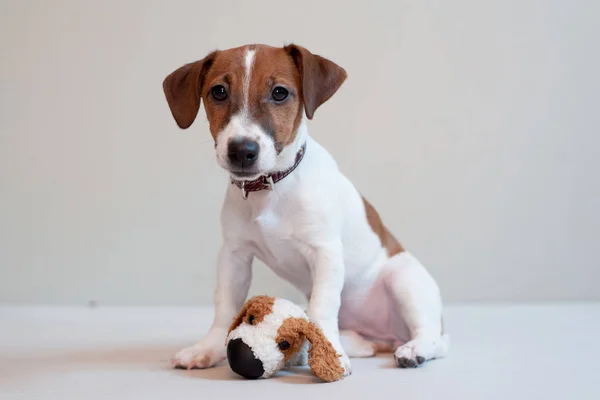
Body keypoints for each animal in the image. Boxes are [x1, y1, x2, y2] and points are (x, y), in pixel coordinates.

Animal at [162, 43, 448, 376]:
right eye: (218, 91)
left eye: (280, 93)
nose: (242, 150)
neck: (272, 187)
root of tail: (386, 338)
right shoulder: (234, 255)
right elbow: (224, 307)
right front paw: (207, 349)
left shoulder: (325, 252)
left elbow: (323, 308)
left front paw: (330, 354)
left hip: (404, 280)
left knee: (435, 336)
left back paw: (414, 349)